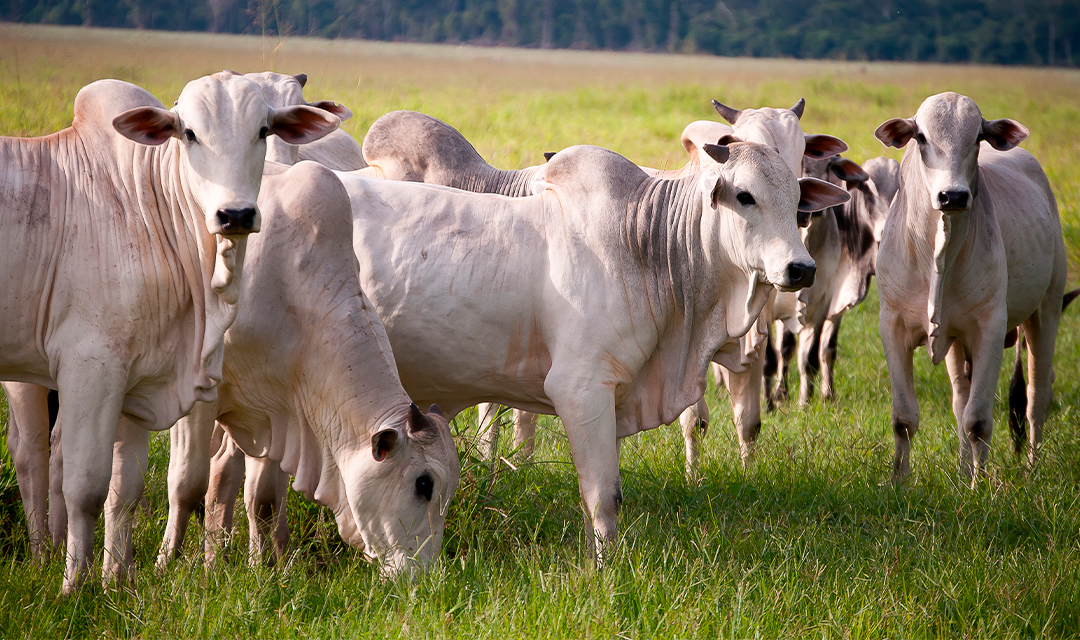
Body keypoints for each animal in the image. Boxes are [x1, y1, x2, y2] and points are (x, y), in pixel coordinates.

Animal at [0, 73, 336, 587]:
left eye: (263, 130)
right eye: (190, 134)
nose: (236, 215)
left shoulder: (137, 378)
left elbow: (125, 490)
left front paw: (117, 580)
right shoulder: (90, 367)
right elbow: (85, 486)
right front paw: (74, 586)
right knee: (33, 452)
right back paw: (43, 554)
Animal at [336, 142, 842, 556]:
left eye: (797, 202)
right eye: (745, 196)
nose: (801, 268)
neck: (646, 245)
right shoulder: (581, 389)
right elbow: (604, 495)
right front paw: (603, 570)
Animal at [872, 89, 1067, 479]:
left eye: (978, 137)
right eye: (921, 137)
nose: (954, 196)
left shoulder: (989, 328)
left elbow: (978, 421)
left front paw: (980, 484)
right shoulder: (893, 325)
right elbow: (904, 419)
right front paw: (898, 482)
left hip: (1046, 310)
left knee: (1036, 397)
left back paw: (1031, 466)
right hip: (956, 339)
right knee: (960, 399)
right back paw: (962, 472)